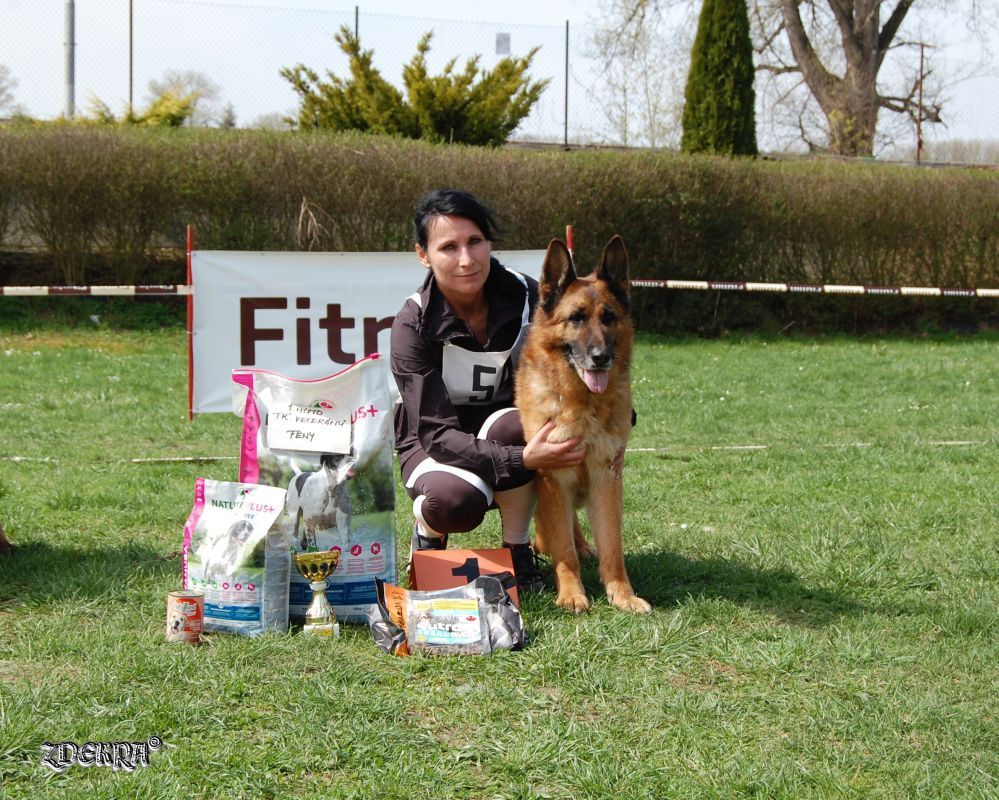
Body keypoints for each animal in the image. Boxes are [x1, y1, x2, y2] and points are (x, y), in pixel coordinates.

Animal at [520, 234, 652, 616]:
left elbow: (613, 546)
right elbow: (564, 552)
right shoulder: (552, 477)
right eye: (576, 318)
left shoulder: (606, 477)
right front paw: (571, 594)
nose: (600, 357)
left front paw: (622, 594)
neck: (583, 404)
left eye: (608, 318)